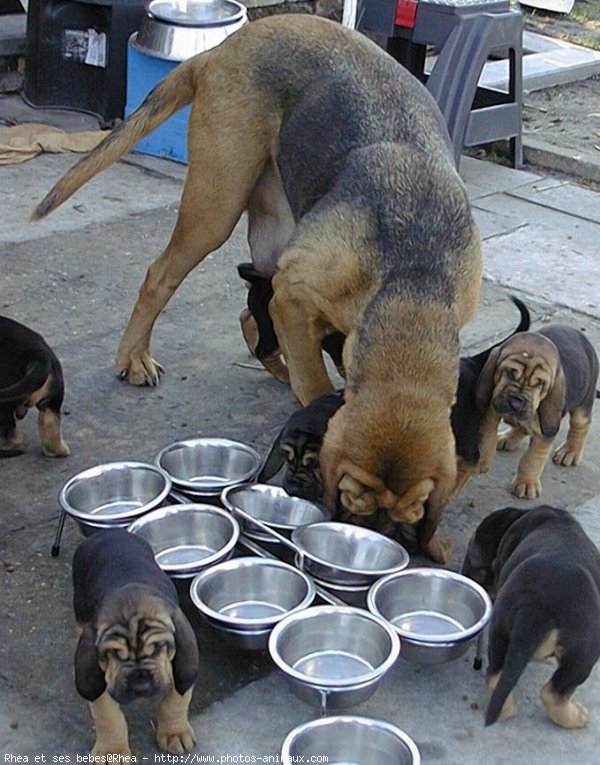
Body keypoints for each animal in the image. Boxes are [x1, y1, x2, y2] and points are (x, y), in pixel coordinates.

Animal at [31, 13, 482, 560]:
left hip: (273, 231)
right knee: (161, 277)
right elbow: (316, 383)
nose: (373, 535)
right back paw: (134, 357)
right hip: (216, 205)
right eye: (352, 496)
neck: (414, 283)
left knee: (252, 313)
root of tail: (226, 47)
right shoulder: (294, 292)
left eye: (406, 514)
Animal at [72, 528, 199, 756]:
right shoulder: (102, 679)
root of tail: (109, 532)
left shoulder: (179, 665)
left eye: (158, 648)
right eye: (112, 654)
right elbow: (107, 715)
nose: (141, 685)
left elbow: (175, 701)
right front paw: (111, 750)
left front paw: (174, 732)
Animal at [462, 508, 600, 728]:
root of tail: (537, 608)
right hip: (584, 653)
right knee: (553, 693)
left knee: (495, 676)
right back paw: (577, 717)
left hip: (501, 628)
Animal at [476, 326, 596, 498]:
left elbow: (532, 458)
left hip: (584, 402)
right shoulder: (493, 405)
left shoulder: (545, 433)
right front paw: (482, 458)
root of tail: (580, 335)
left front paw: (526, 483)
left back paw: (570, 451)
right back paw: (508, 437)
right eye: (510, 372)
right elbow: (487, 433)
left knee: (580, 427)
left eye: (539, 383)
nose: (516, 402)